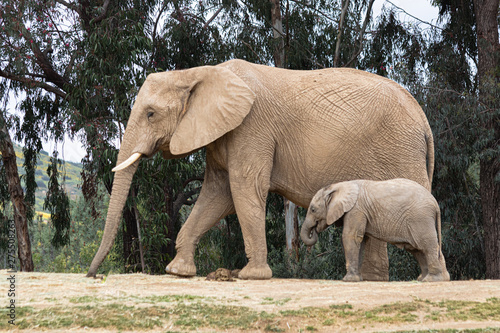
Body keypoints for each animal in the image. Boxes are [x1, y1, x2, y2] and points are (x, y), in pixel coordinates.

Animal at [86, 58, 434, 278]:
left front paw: (251, 276)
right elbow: (217, 195)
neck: (201, 73)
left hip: (401, 151)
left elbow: (243, 189)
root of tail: (424, 120)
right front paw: (178, 272)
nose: (92, 275)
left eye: (151, 114)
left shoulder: (252, 129)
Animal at [302, 178, 452, 282]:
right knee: (417, 248)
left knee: (426, 245)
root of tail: (435, 203)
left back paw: (431, 280)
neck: (341, 185)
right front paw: (358, 279)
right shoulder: (360, 212)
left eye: (313, 209)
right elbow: (361, 240)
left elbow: (350, 236)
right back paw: (431, 279)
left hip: (420, 218)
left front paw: (348, 280)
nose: (314, 230)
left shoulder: (356, 210)